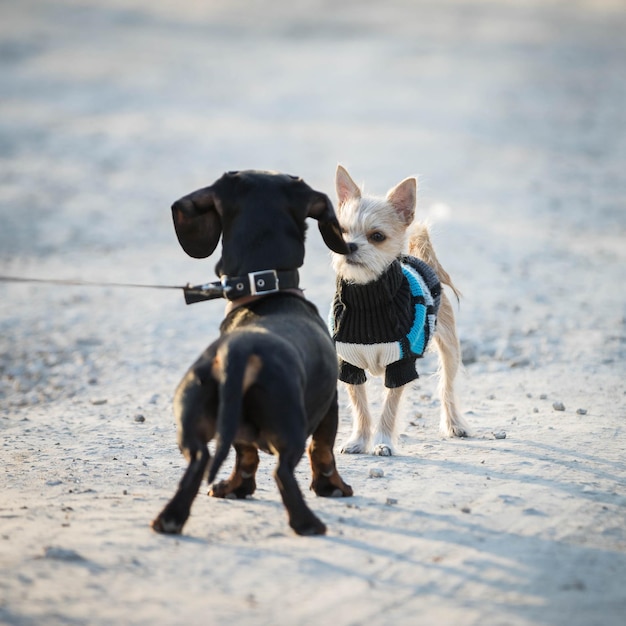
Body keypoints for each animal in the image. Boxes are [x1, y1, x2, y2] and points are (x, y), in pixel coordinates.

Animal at [152, 168, 354, 532]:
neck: (263, 290)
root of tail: (239, 352)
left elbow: (245, 456)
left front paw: (236, 488)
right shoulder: (330, 401)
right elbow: (324, 450)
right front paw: (331, 486)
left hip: (192, 418)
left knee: (199, 461)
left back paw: (170, 519)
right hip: (290, 425)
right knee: (283, 472)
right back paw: (307, 523)